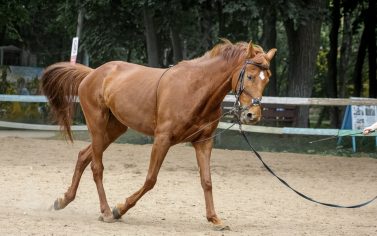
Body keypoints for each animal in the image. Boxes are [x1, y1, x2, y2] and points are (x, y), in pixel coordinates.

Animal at [41, 40, 276, 227]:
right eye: (250, 76)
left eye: (267, 78)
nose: (252, 115)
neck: (196, 89)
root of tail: (92, 74)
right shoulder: (162, 139)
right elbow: (150, 180)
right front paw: (120, 209)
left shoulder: (203, 142)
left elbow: (207, 181)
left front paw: (214, 219)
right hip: (97, 126)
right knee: (96, 167)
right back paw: (106, 211)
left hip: (114, 129)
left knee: (83, 156)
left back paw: (63, 200)